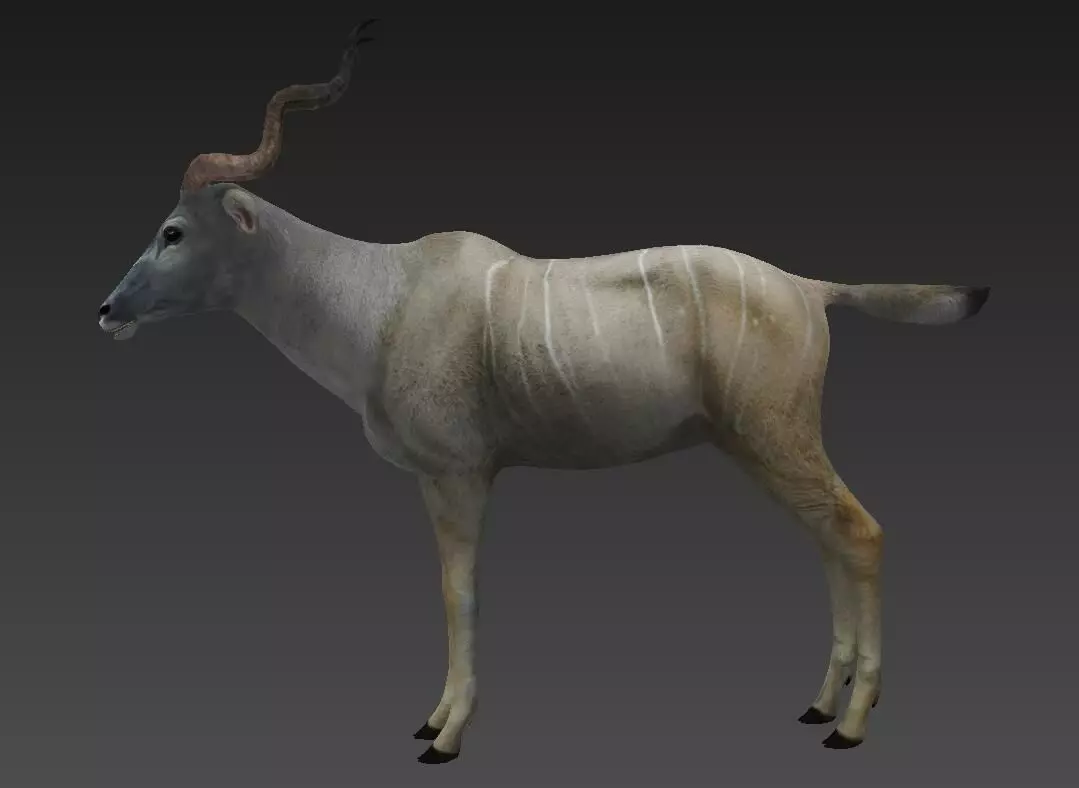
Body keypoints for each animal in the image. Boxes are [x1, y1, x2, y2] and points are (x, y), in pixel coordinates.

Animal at [98, 21, 991, 765]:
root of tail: (810, 289)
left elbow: (459, 594)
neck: (381, 296)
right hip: (757, 447)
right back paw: (819, 705)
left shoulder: (459, 474)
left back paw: (850, 724)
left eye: (173, 231)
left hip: (776, 437)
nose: (107, 311)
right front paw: (435, 720)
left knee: (860, 532)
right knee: (829, 538)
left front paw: (443, 735)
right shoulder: (439, 481)